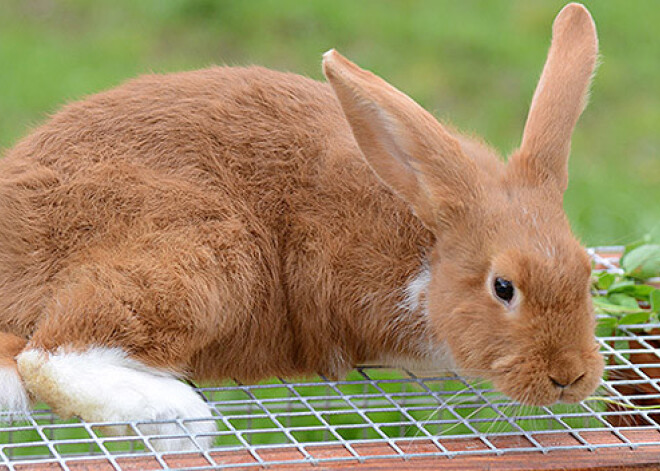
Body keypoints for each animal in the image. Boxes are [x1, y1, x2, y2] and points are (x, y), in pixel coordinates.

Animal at [0, 2, 604, 454]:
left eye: (587, 274)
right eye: (503, 287)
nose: (570, 378)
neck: (425, 233)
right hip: (204, 253)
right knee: (48, 356)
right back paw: (182, 422)